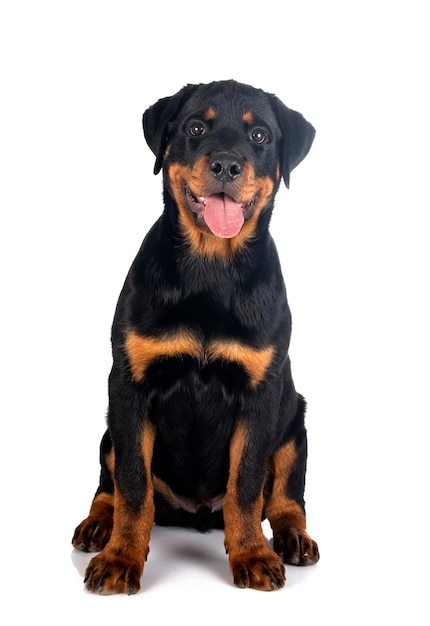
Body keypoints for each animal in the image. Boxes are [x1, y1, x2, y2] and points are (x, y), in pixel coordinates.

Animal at [71, 80, 320, 592]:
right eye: (195, 128)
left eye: (260, 135)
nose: (226, 164)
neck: (211, 270)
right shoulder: (128, 386)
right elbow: (132, 485)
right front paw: (121, 558)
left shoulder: (261, 394)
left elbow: (246, 486)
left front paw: (252, 555)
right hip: (109, 428)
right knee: (109, 485)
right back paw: (98, 524)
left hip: (294, 422)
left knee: (286, 498)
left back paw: (292, 539)